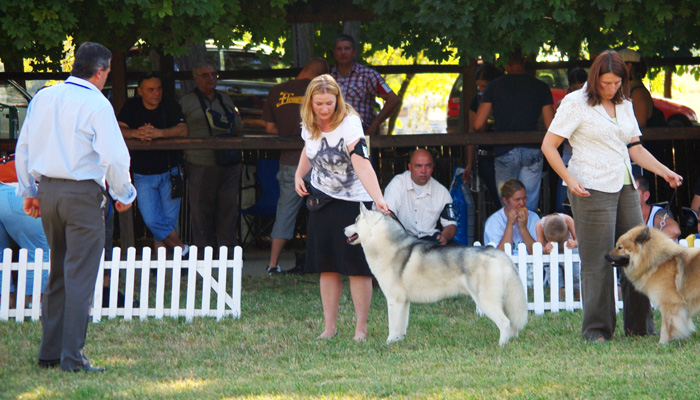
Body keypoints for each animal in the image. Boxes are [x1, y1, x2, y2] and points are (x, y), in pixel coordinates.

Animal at [342, 205, 528, 346]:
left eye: (356, 221)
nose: (343, 229)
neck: (386, 245)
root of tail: (500, 254)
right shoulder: (404, 302)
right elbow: (402, 326)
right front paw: (398, 341)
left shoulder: (394, 300)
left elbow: (393, 326)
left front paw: (389, 343)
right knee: (511, 323)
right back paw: (511, 342)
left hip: (486, 301)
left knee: (505, 322)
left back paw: (501, 345)